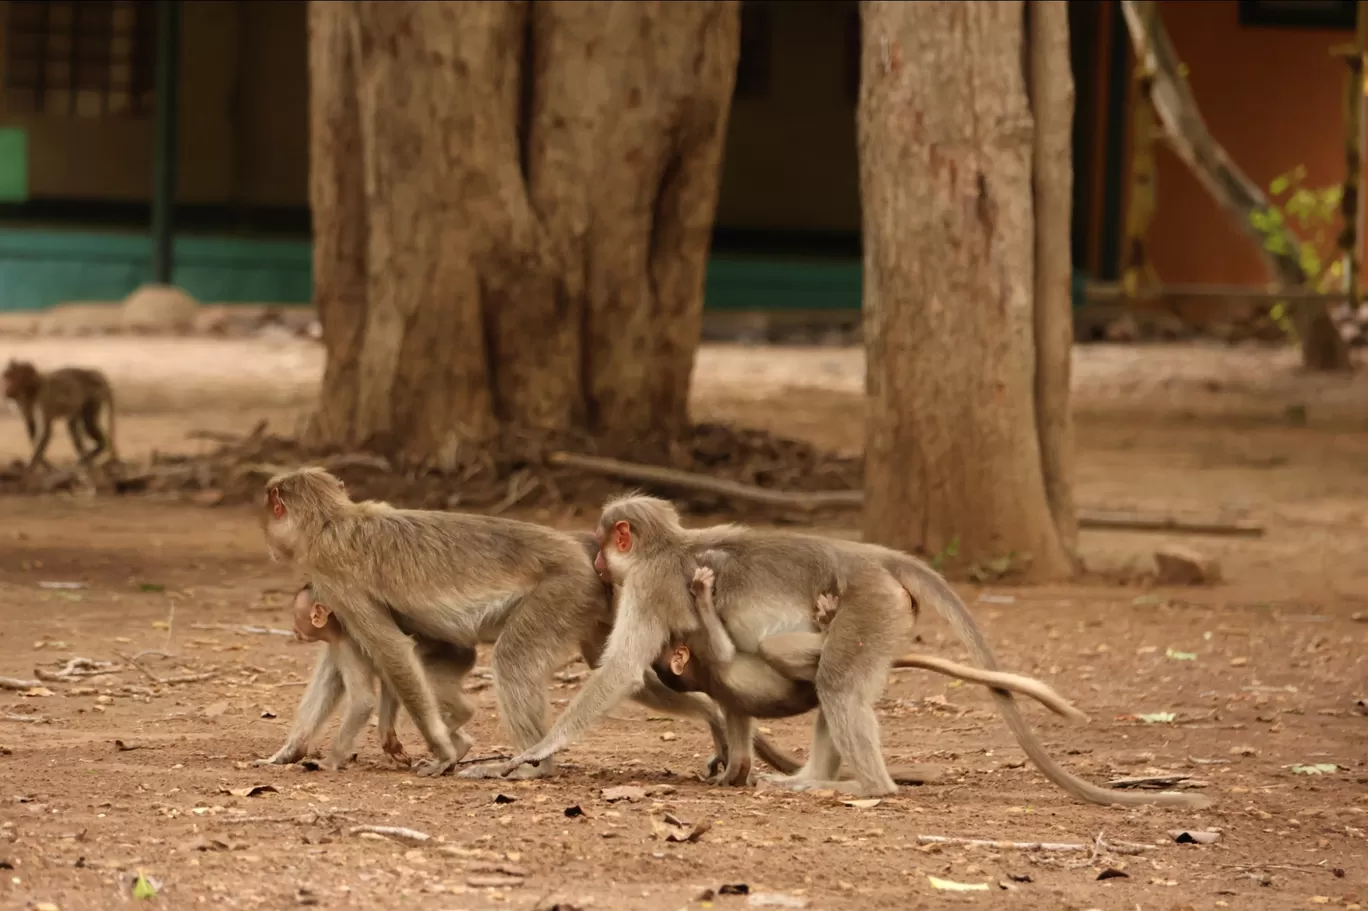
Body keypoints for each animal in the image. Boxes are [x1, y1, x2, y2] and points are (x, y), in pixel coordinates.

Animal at [258, 585, 478, 771]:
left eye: (296, 616)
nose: (293, 627)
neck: (339, 626)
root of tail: (467, 649)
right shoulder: (338, 645)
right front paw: (289, 753)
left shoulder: (347, 644)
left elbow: (364, 700)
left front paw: (329, 762)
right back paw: (460, 744)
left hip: (449, 659)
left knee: (429, 682)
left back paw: (462, 716)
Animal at [497, 497, 1214, 809]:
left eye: (603, 544)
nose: (595, 560)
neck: (666, 547)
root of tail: (868, 555)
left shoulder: (647, 584)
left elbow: (619, 669)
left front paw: (536, 749)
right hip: (880, 614)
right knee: (831, 685)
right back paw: (812, 777)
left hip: (873, 606)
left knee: (838, 684)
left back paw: (866, 787)